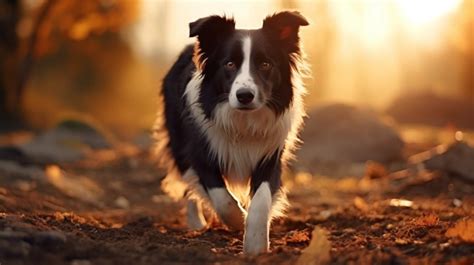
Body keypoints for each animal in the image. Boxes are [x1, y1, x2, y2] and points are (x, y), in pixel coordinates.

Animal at [156, 10, 310, 254]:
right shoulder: (199, 154)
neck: (243, 122)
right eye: (229, 64)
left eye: (265, 64)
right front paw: (239, 220)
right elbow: (222, 198)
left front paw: (255, 245)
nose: (244, 95)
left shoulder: (270, 156)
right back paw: (196, 223)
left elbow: (261, 201)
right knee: (189, 187)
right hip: (178, 142)